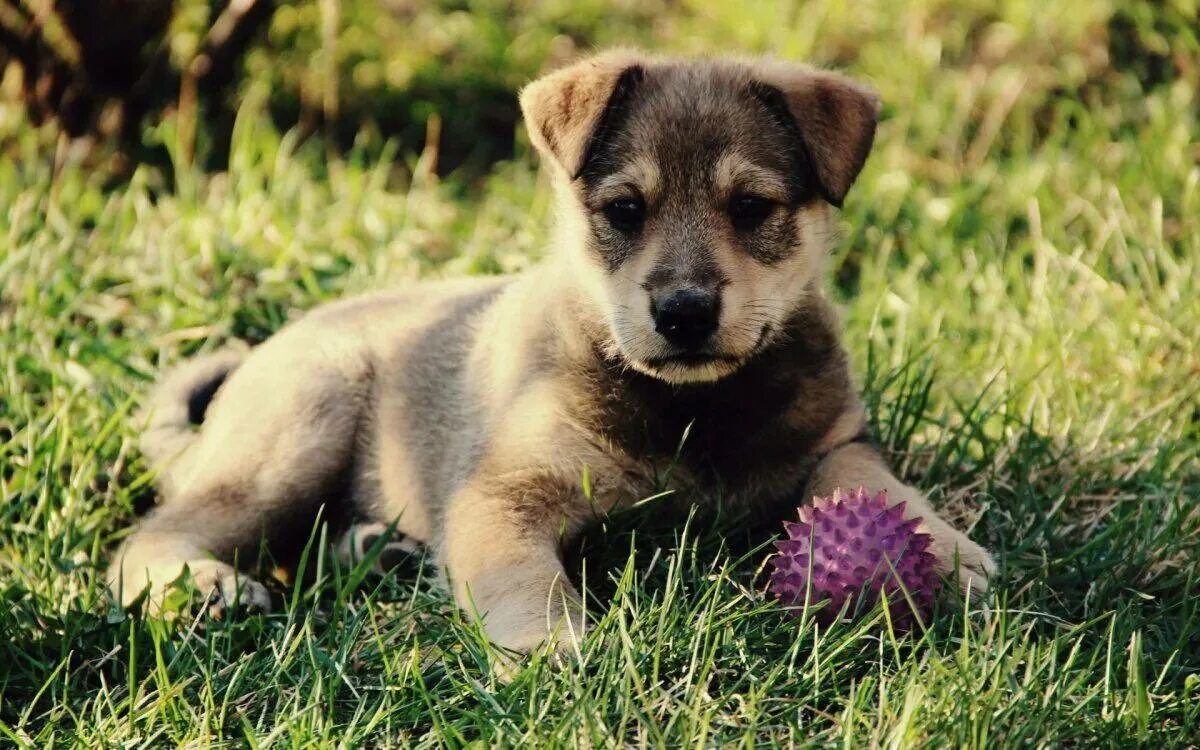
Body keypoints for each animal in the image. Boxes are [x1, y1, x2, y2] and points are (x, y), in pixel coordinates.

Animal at [110, 49, 993, 652]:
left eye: (750, 208)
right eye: (625, 210)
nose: (683, 312)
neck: (693, 411)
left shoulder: (836, 439)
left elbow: (874, 487)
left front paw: (947, 552)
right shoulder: (504, 493)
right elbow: (524, 575)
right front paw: (549, 645)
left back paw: (378, 548)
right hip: (294, 435)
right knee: (151, 536)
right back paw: (207, 586)